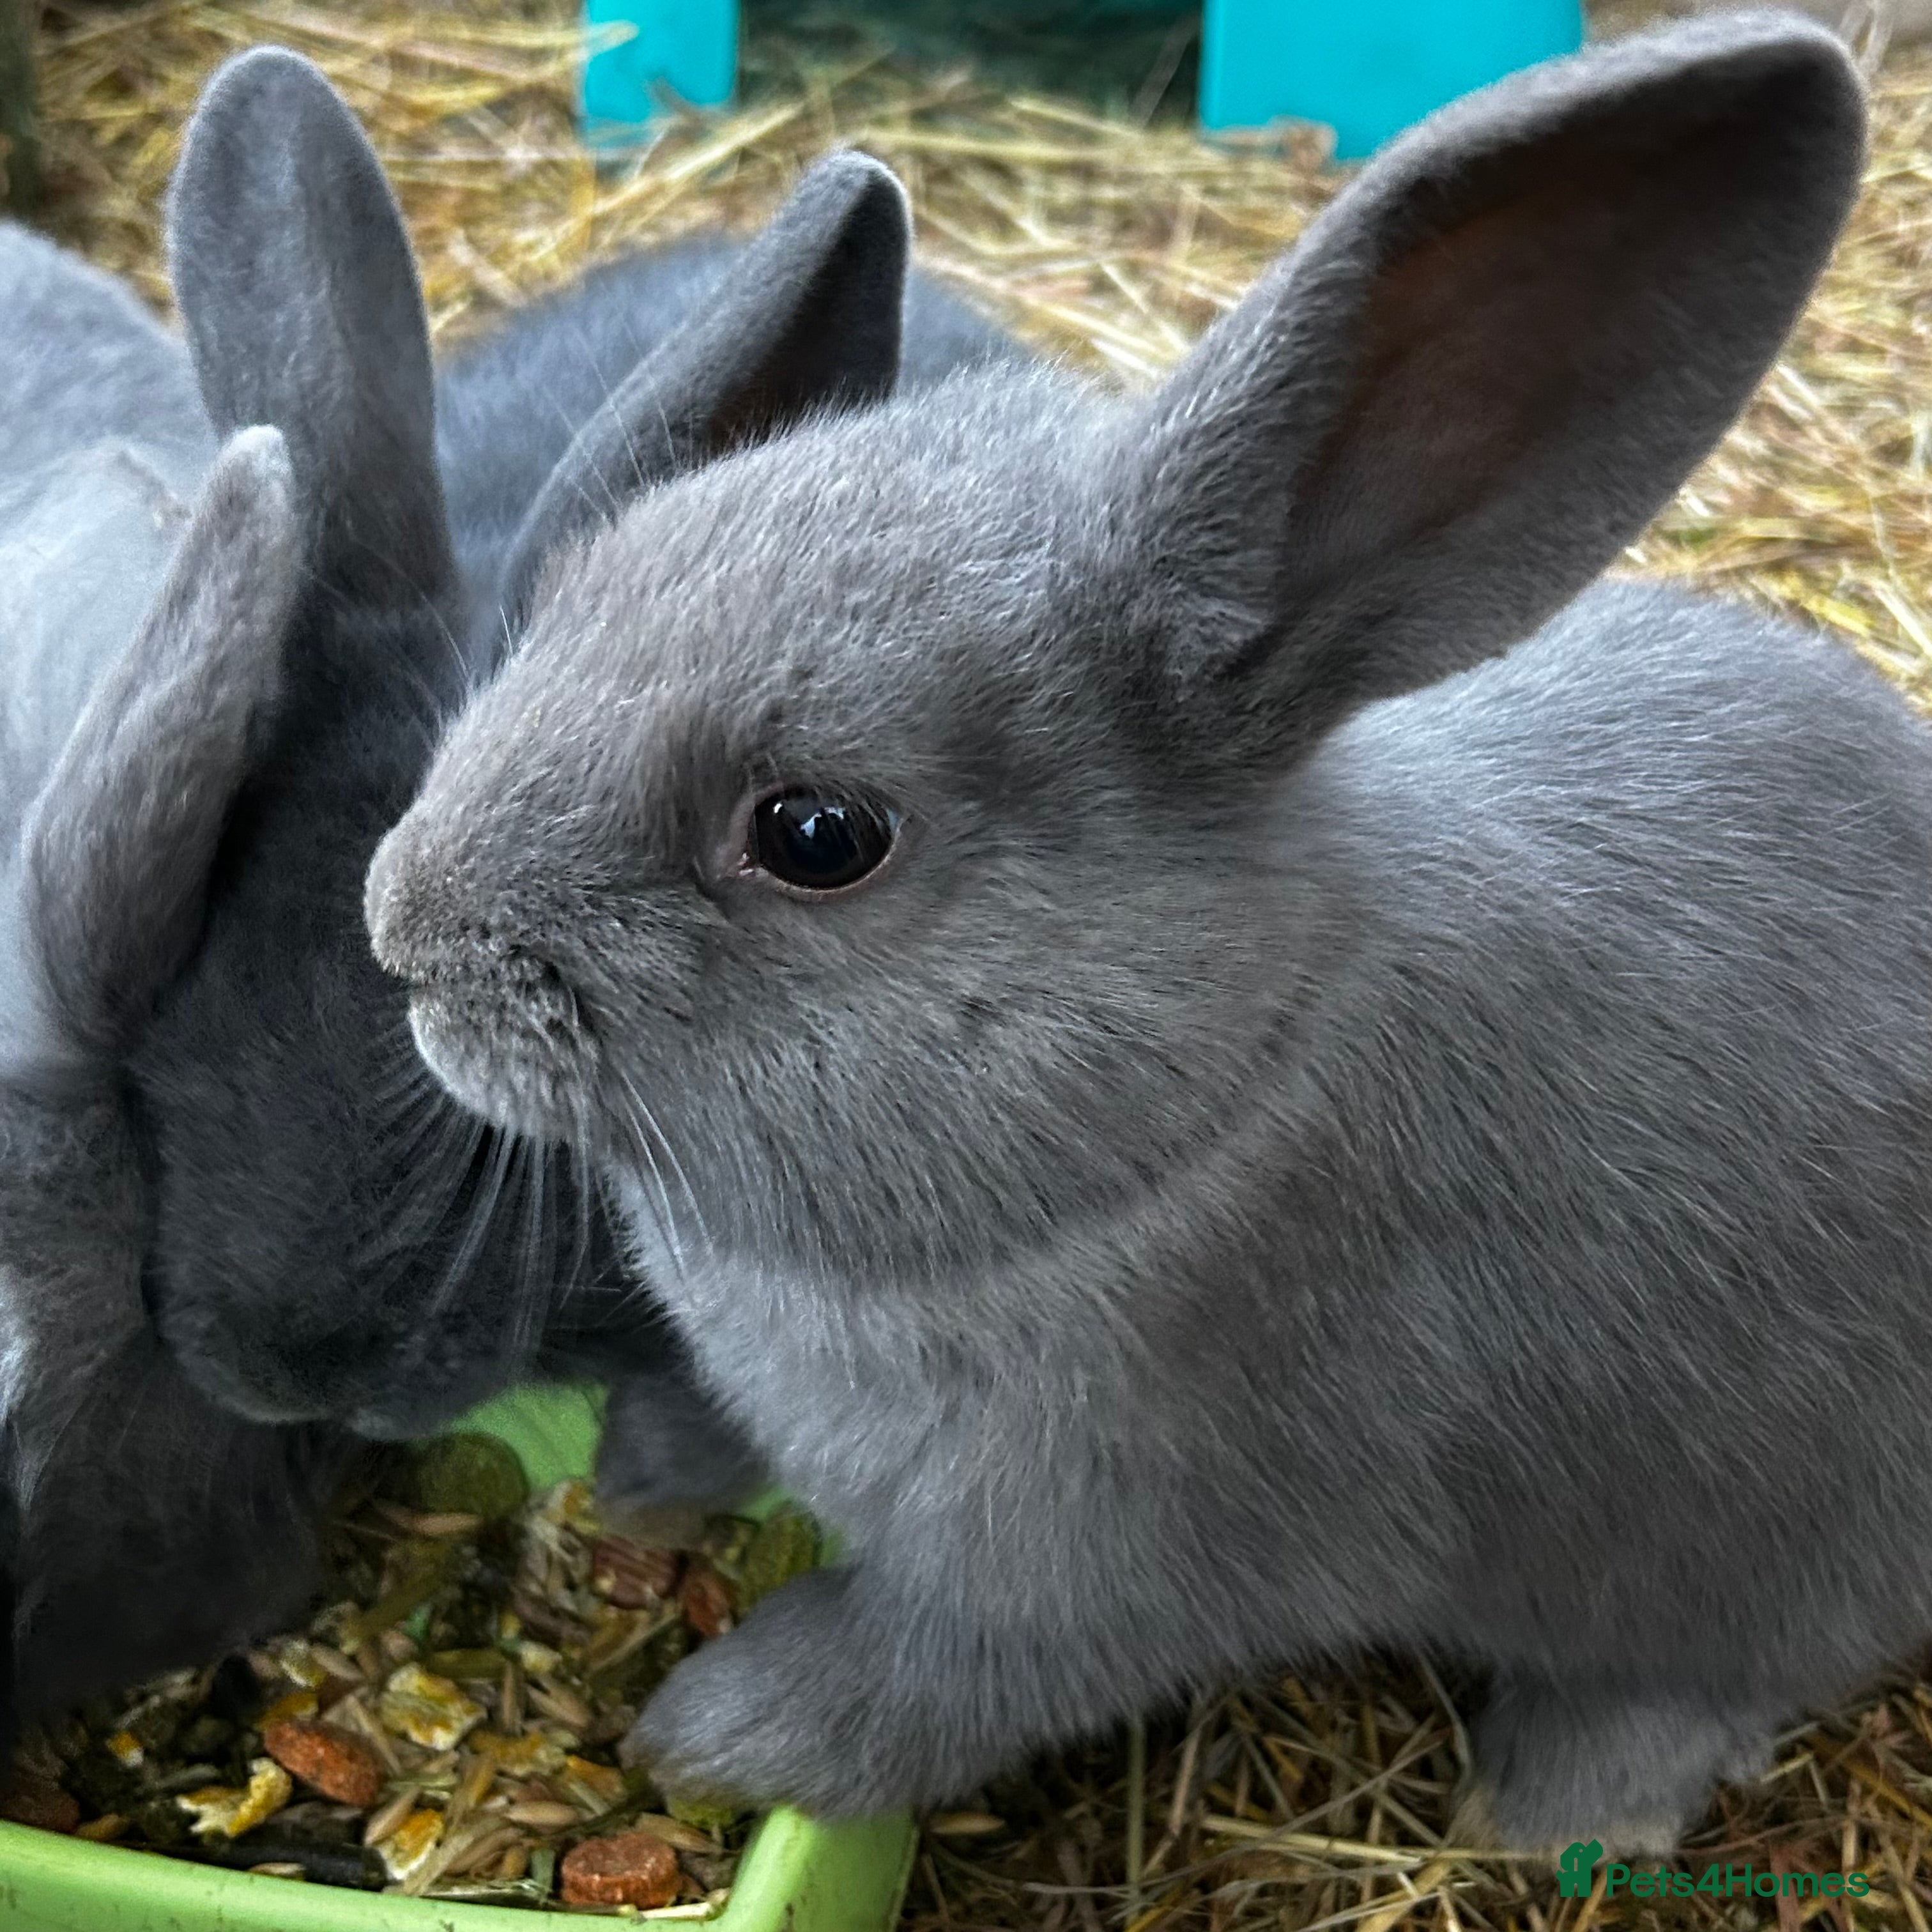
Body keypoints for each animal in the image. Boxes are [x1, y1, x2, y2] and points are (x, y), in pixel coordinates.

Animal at [362, 9, 1932, 1852]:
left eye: (818, 838)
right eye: (557, 610)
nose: (403, 928)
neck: (1198, 1111)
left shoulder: (1105, 1582)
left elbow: (914, 1684)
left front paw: (706, 1742)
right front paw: (643, 1493)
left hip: (1762, 1548)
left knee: (1710, 1679)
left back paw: (1552, 1815)